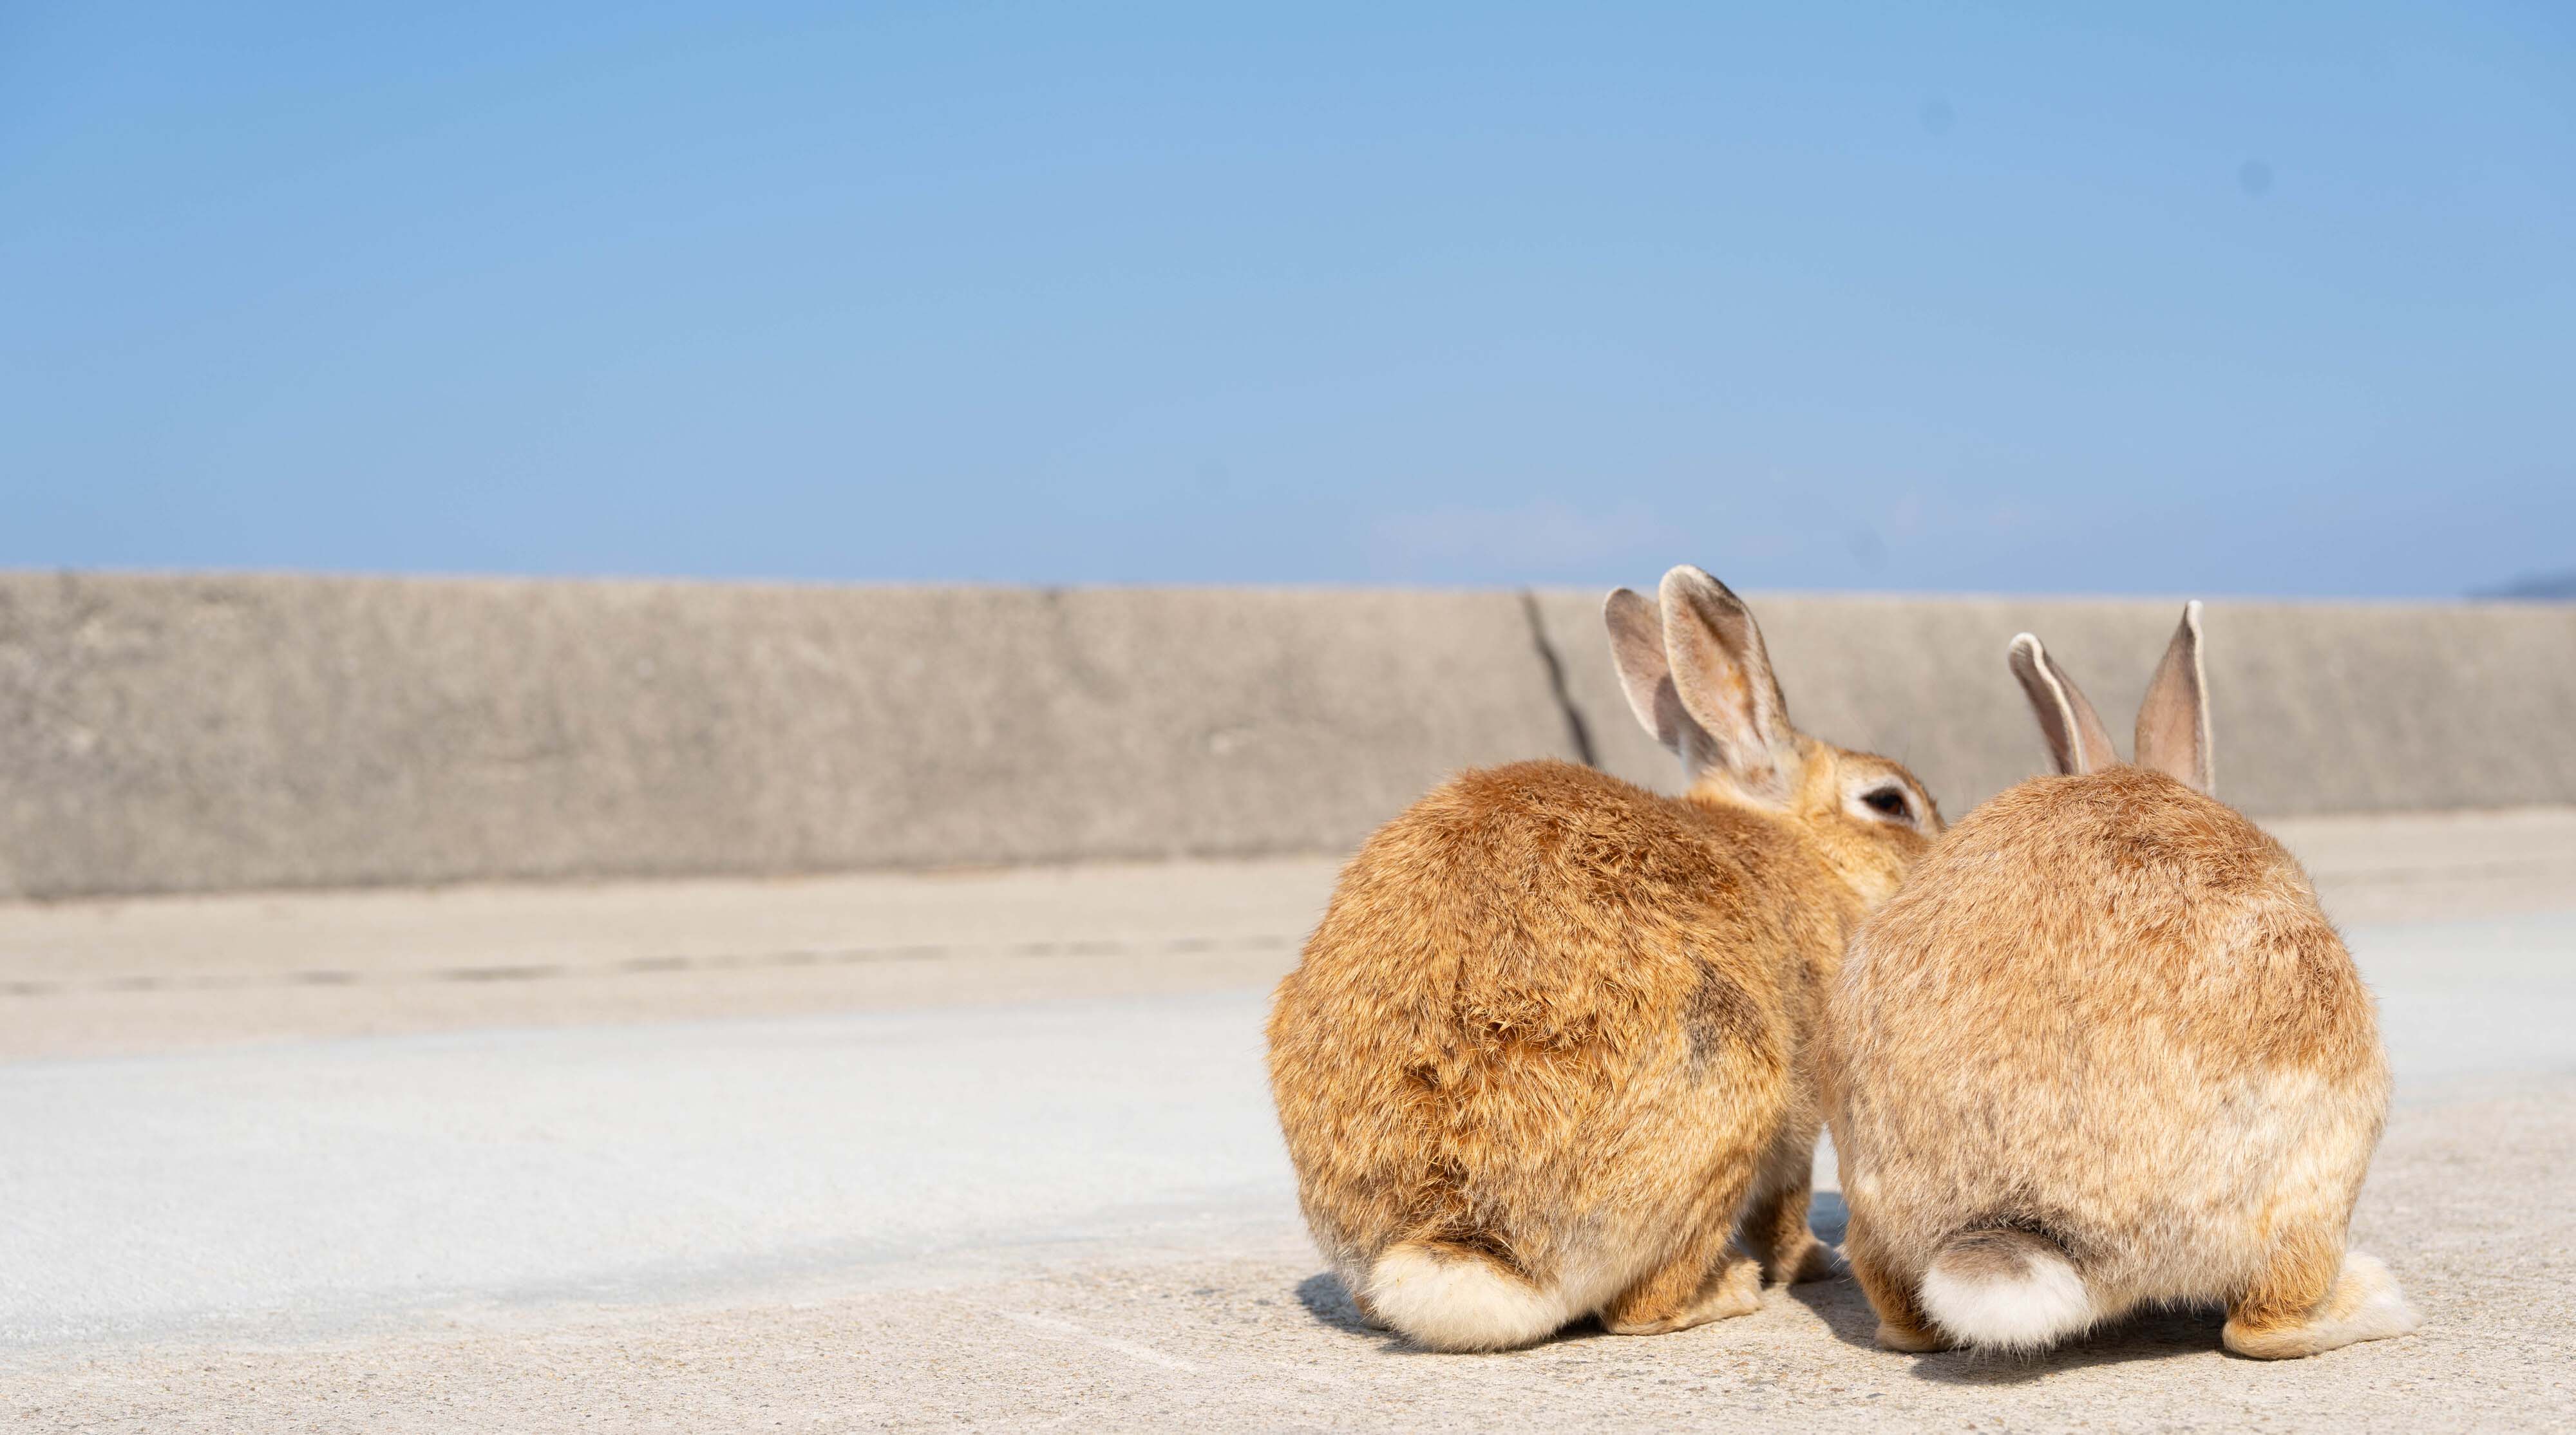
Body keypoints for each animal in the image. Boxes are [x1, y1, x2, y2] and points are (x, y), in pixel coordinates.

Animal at [1267, 564, 1937, 1349]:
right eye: (1889, 803)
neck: (1808, 853)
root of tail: (1471, 1253)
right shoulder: (1801, 1108)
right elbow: (1787, 1205)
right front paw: (1810, 1263)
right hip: (1733, 1087)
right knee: (1639, 1310)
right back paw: (1730, 1290)